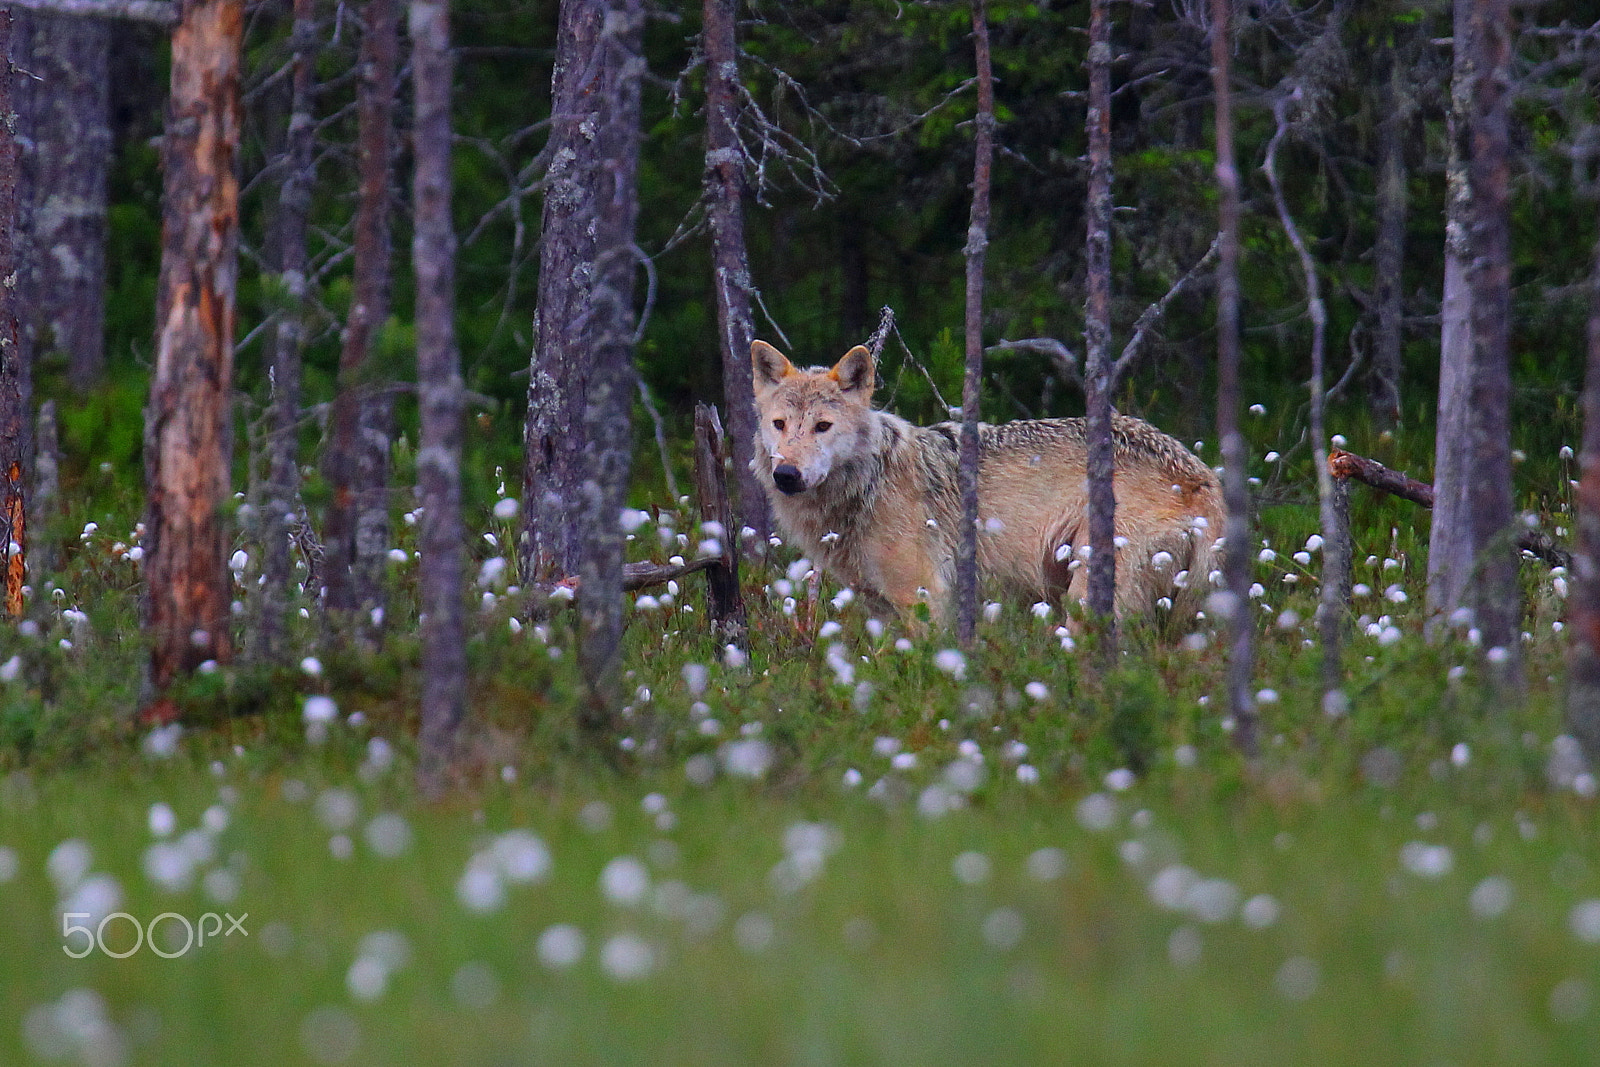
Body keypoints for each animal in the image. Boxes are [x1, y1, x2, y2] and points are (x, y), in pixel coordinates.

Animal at [750, 339, 1226, 626]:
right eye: (780, 425)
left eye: (822, 427)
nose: (786, 474)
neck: (868, 482)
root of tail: (1204, 479)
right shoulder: (878, 607)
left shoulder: (925, 599)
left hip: (1085, 598)